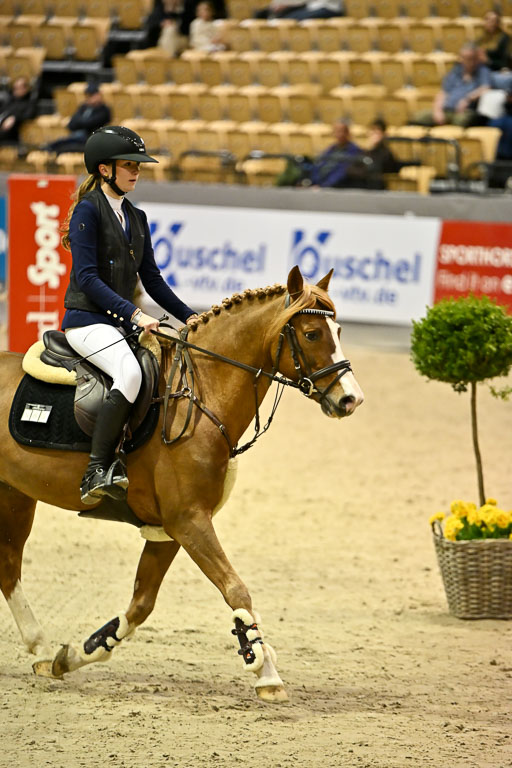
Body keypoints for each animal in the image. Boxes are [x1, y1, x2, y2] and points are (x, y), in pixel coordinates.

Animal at [0, 266, 364, 703]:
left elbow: (141, 604)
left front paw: (75, 655)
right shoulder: (189, 521)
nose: (351, 400)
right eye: (311, 334)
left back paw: (40, 651)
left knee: (8, 567)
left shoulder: (168, 529)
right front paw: (265, 671)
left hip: (16, 495)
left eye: (339, 330)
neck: (202, 396)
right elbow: (236, 589)